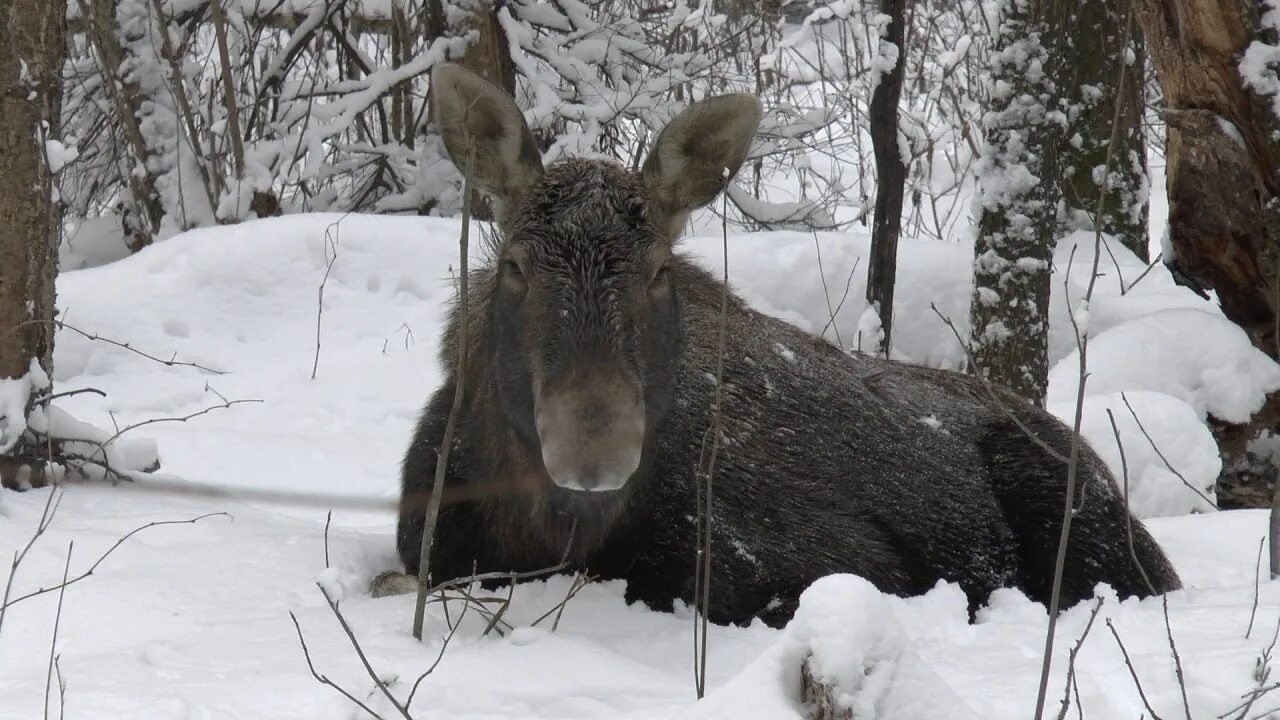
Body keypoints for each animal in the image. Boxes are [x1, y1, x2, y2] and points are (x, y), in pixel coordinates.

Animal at [384, 63, 1182, 622]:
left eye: (658, 269)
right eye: (516, 265)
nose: (593, 447)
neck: (554, 530)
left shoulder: (838, 564)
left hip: (1088, 526)